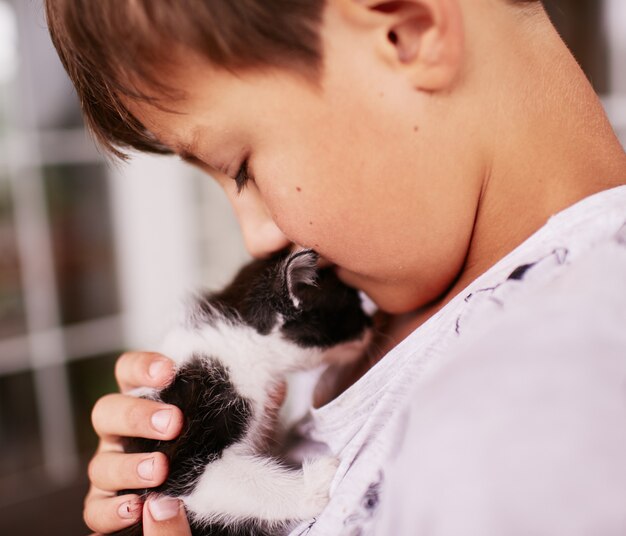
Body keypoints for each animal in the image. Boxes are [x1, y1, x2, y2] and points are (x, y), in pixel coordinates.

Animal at [114, 250, 370, 536]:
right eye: (353, 309)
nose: (371, 323)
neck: (241, 342)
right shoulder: (175, 458)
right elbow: (221, 481)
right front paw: (314, 484)